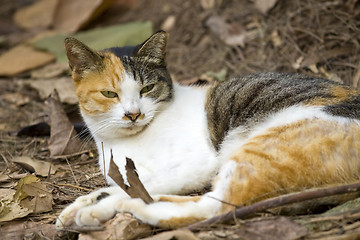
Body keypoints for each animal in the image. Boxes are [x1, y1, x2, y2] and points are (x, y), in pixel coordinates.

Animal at [55, 31, 360, 230]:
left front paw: (95, 206)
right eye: (109, 93)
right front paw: (75, 207)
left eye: (147, 89)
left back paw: (121, 209)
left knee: (214, 207)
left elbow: (135, 186)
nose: (133, 114)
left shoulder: (194, 166)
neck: (122, 143)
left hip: (263, 148)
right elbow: (115, 187)